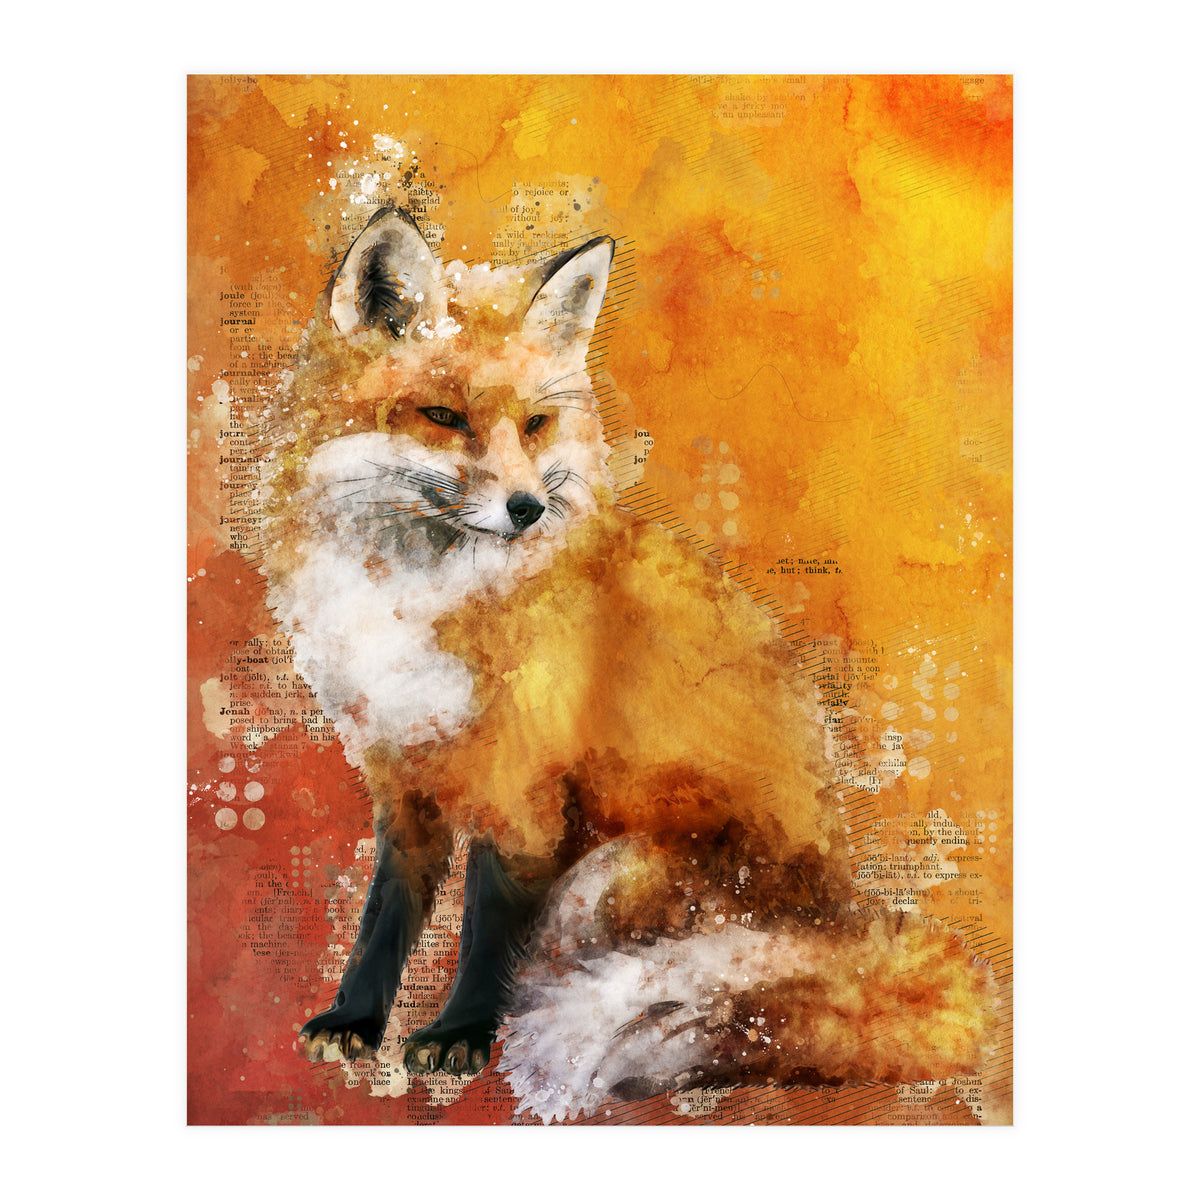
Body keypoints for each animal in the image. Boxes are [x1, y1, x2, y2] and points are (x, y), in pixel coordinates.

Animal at [261, 205, 996, 1095]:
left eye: (535, 424)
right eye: (442, 416)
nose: (528, 508)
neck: (423, 597)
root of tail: (849, 915)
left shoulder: (526, 783)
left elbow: (487, 924)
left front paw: (464, 1031)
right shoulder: (401, 774)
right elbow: (384, 916)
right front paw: (354, 1020)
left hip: (614, 868)